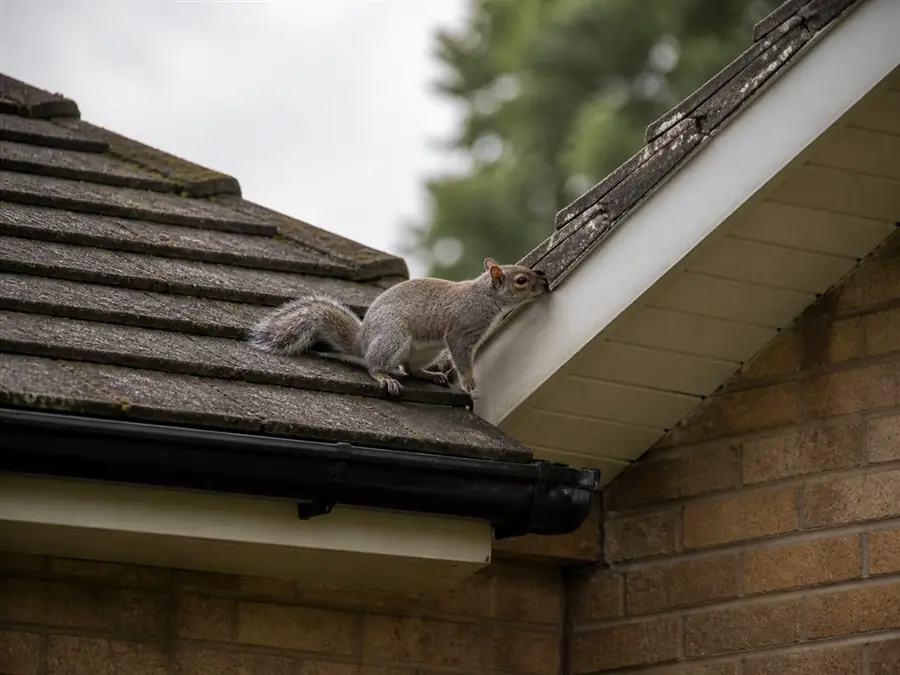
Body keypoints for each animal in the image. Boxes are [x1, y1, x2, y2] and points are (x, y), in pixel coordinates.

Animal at [248, 257, 550, 397]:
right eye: (521, 280)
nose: (543, 282)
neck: (485, 296)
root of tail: (363, 341)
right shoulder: (462, 332)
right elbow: (462, 358)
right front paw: (469, 382)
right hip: (394, 335)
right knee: (374, 364)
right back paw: (384, 376)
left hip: (424, 350)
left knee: (410, 368)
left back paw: (430, 375)